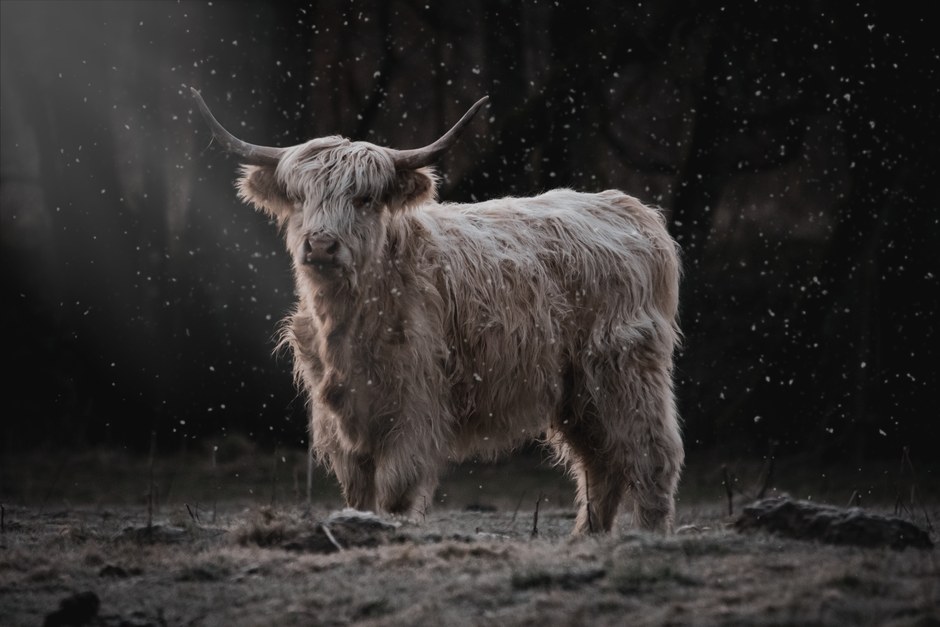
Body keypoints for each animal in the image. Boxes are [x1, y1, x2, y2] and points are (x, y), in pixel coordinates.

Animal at [190, 88, 684, 534]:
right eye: (298, 198)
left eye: (364, 198)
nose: (322, 244)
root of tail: (629, 209)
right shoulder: (345, 421)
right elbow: (359, 491)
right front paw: (359, 523)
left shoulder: (414, 409)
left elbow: (396, 491)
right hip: (579, 391)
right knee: (601, 463)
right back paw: (588, 537)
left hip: (626, 370)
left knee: (650, 454)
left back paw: (647, 536)